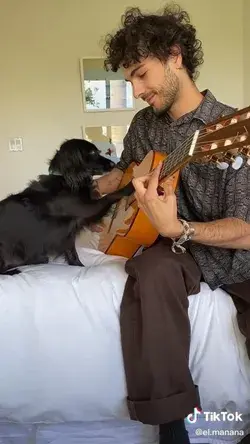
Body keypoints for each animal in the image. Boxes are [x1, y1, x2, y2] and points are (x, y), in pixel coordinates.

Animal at [0, 137, 134, 276]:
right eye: (92, 153)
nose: (114, 165)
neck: (66, 179)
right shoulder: (89, 209)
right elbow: (111, 195)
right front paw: (131, 185)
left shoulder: (69, 232)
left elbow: (72, 253)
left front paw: (78, 266)